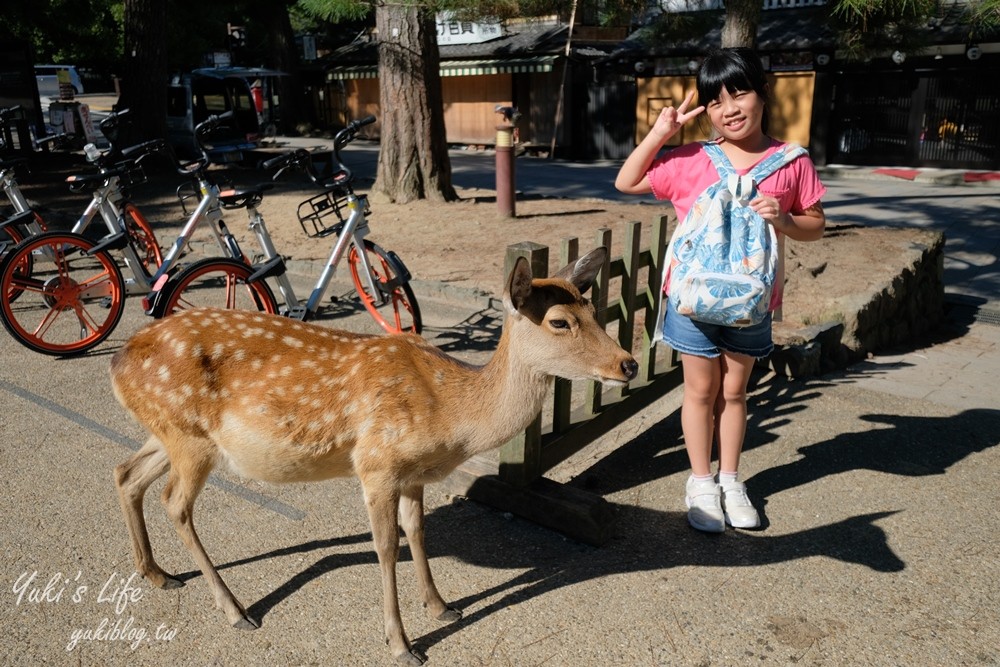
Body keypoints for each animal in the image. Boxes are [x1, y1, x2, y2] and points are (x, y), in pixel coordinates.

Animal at [111, 248, 640, 664]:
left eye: (593, 308)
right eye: (560, 321)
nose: (628, 363)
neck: (450, 415)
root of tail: (118, 361)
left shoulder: (414, 474)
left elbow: (417, 531)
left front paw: (441, 606)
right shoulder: (377, 463)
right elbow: (386, 547)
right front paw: (402, 644)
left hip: (169, 432)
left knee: (125, 473)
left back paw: (156, 573)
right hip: (189, 437)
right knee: (174, 503)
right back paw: (235, 610)